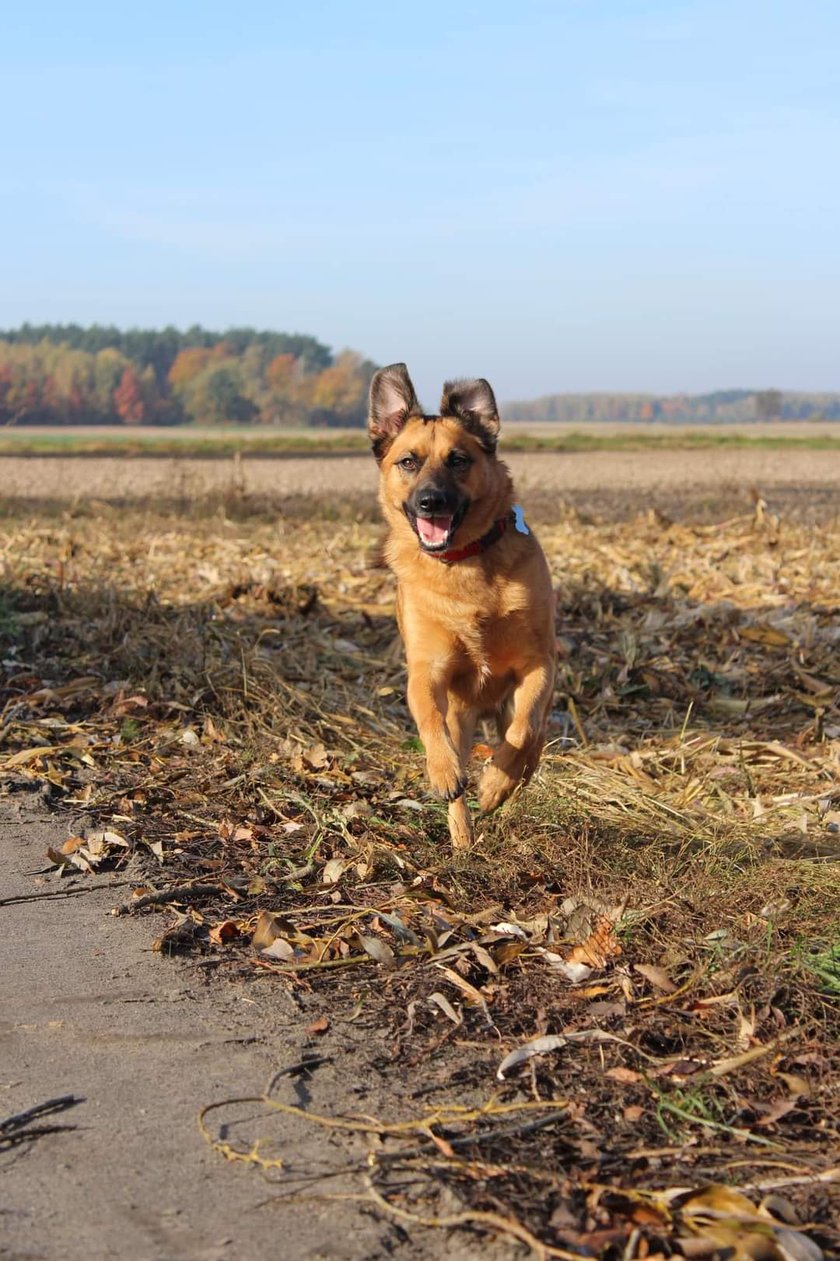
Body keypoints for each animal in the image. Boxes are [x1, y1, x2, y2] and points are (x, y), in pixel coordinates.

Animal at [368, 365, 554, 857]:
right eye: (408, 462)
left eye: (458, 460)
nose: (431, 502)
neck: (464, 565)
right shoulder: (426, 672)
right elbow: (430, 722)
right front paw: (444, 772)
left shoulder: (538, 665)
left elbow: (523, 732)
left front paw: (496, 785)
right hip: (462, 714)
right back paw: (463, 837)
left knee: (533, 735)